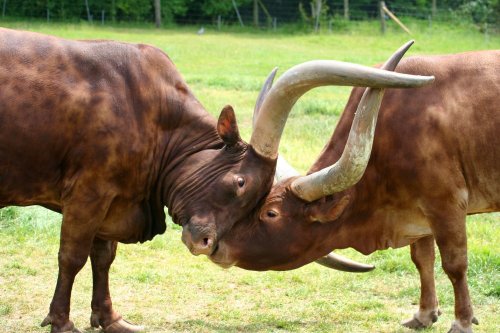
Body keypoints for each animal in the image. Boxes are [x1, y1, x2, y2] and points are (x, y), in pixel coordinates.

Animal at [0, 29, 434, 332]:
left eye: (262, 208)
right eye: (240, 183)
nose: (204, 242)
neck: (153, 118)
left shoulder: (110, 199)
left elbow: (102, 257)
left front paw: (110, 318)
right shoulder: (88, 194)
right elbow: (71, 256)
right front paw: (61, 321)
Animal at [212, 42, 500, 330]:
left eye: (271, 213)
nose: (217, 246)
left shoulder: (446, 204)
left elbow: (455, 265)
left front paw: (462, 321)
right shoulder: (420, 212)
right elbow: (422, 260)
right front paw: (425, 314)